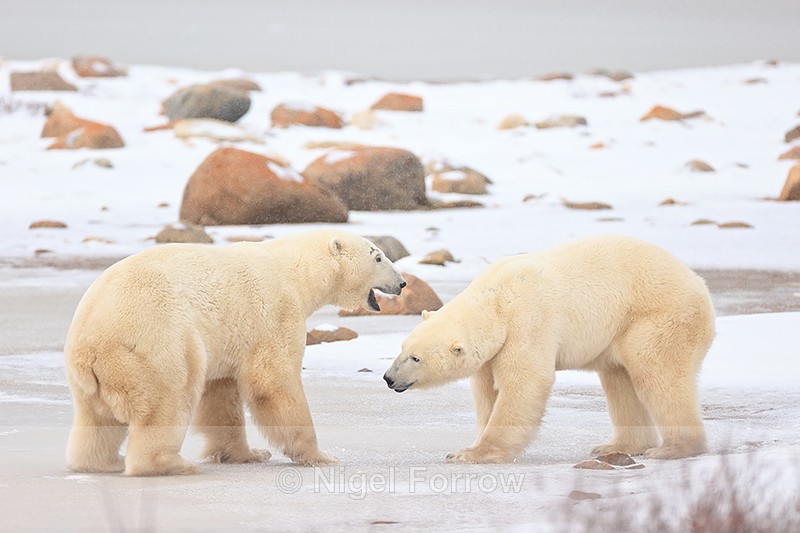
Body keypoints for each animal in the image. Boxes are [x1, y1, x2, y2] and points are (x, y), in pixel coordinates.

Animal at [65, 230, 406, 476]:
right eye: (378, 257)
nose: (402, 283)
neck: (295, 273)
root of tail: (89, 344)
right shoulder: (275, 315)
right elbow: (274, 381)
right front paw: (320, 455)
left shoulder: (230, 336)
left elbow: (221, 395)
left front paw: (248, 453)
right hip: (155, 344)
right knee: (169, 399)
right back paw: (172, 464)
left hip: (98, 373)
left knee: (95, 420)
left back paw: (101, 462)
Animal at [383, 235, 715, 463]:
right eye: (402, 347)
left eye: (415, 358)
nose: (388, 378)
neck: (497, 300)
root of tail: (699, 285)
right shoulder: (492, 352)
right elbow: (487, 390)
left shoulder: (528, 322)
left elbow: (525, 382)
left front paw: (470, 453)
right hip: (617, 331)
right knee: (619, 380)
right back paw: (616, 446)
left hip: (655, 317)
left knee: (658, 375)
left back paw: (672, 449)